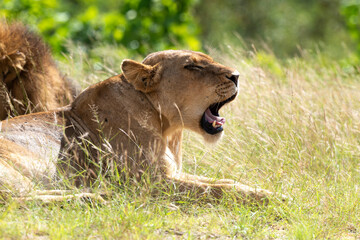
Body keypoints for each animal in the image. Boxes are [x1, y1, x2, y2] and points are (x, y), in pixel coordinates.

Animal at [0, 49, 284, 203]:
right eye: (193, 66)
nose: (236, 76)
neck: (167, 127)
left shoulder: (172, 173)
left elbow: (225, 181)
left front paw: (267, 191)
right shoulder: (151, 182)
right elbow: (216, 189)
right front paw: (272, 198)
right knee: (19, 202)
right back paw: (94, 198)